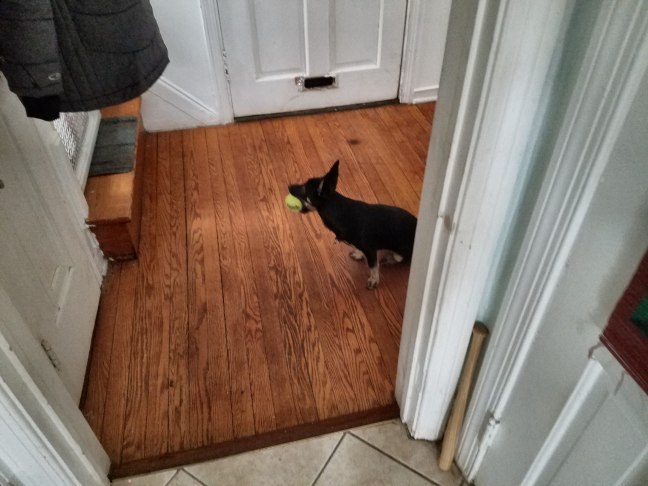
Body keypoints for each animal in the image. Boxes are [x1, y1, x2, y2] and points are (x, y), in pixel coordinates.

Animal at [288, 160, 417, 289]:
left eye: (304, 189)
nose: (288, 186)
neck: (337, 209)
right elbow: (361, 251)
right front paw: (359, 254)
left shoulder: (370, 250)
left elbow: (373, 266)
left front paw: (374, 279)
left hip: (402, 250)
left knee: (400, 258)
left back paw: (390, 259)